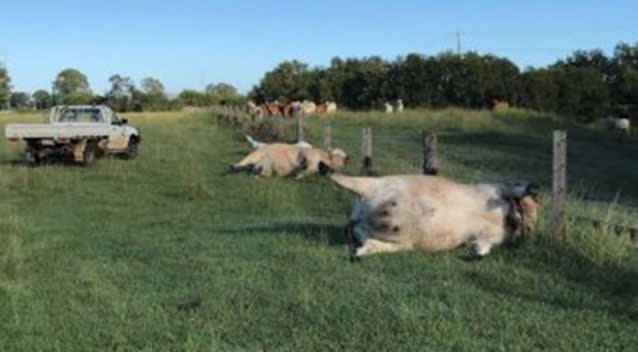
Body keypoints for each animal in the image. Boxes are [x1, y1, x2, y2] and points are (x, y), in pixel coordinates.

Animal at [320, 162, 540, 262]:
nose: (525, 229)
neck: (506, 219)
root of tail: (356, 220)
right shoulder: (497, 188)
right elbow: (518, 189)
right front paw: (531, 189)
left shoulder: (485, 238)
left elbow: (481, 248)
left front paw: (473, 255)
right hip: (372, 184)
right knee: (341, 178)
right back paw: (325, 167)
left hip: (397, 244)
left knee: (369, 246)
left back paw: (357, 253)